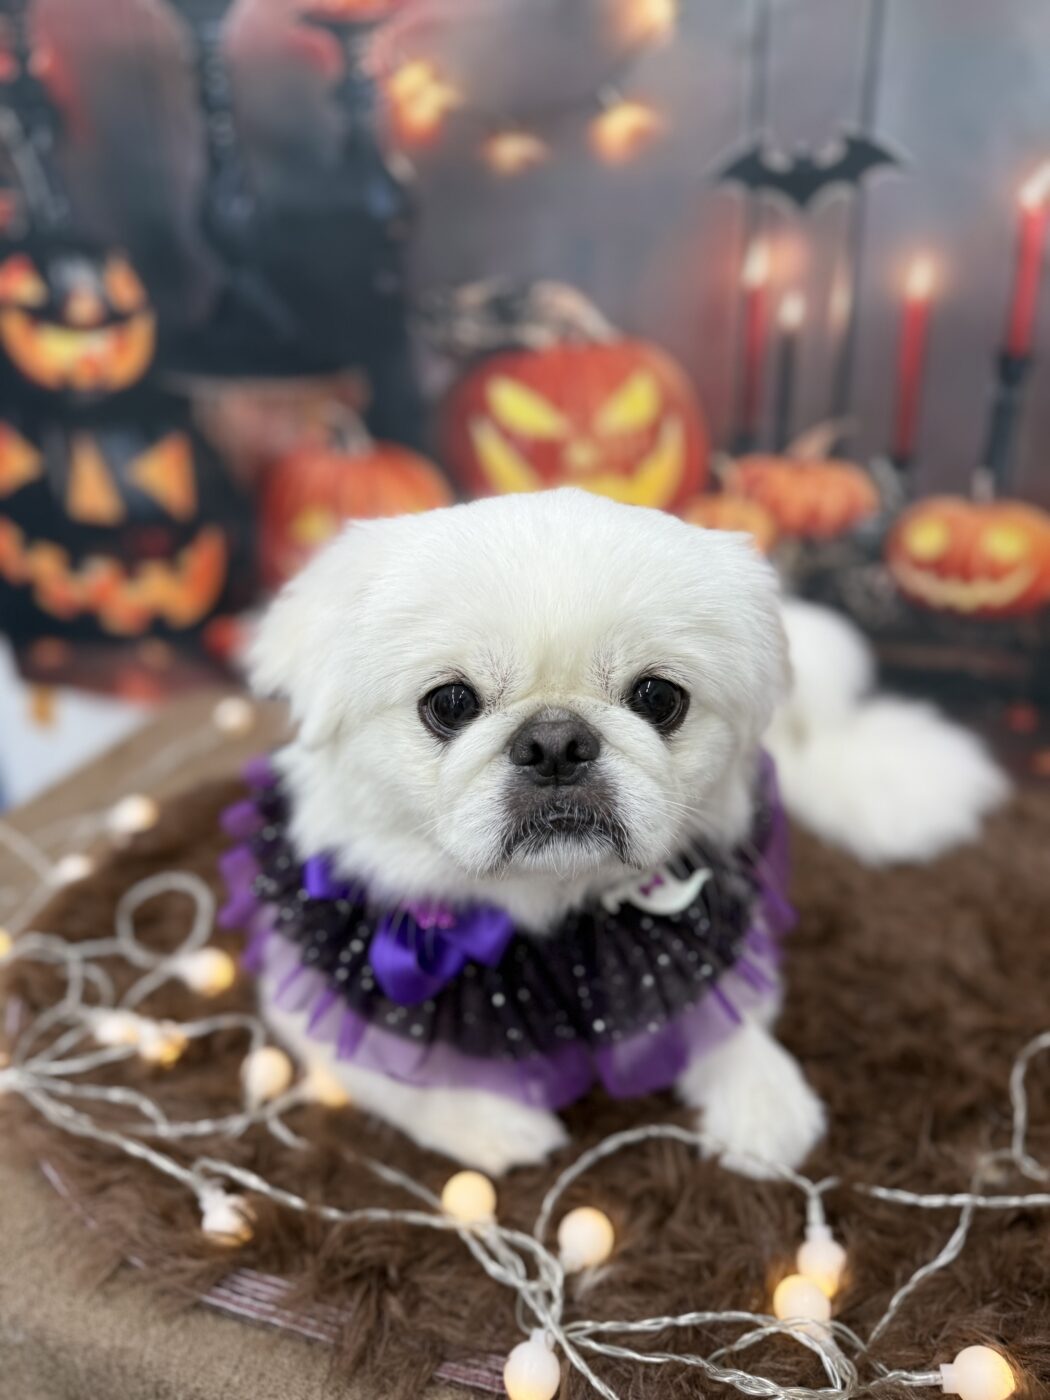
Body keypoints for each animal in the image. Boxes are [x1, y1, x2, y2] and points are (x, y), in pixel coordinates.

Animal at [244, 489, 829, 1176]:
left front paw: (764, 1101)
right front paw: (496, 1123)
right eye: (450, 703)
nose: (555, 742)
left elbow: (723, 1012)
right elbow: (401, 1071)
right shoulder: (313, 998)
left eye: (658, 698)